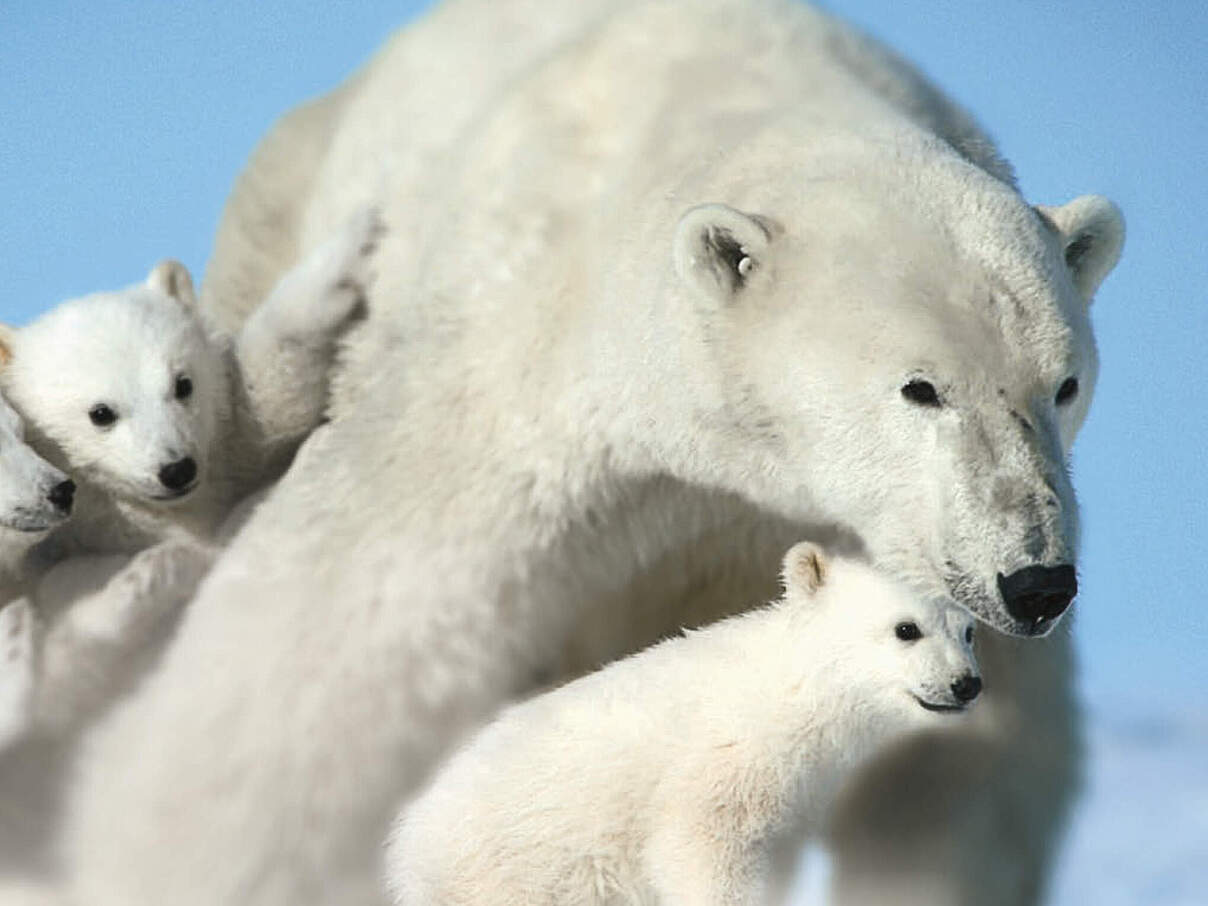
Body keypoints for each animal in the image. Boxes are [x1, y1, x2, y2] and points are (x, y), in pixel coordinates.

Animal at [63, 1, 1121, 906]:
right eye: (920, 387)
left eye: (1063, 385)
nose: (1037, 582)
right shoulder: (520, 384)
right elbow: (318, 645)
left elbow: (957, 777)